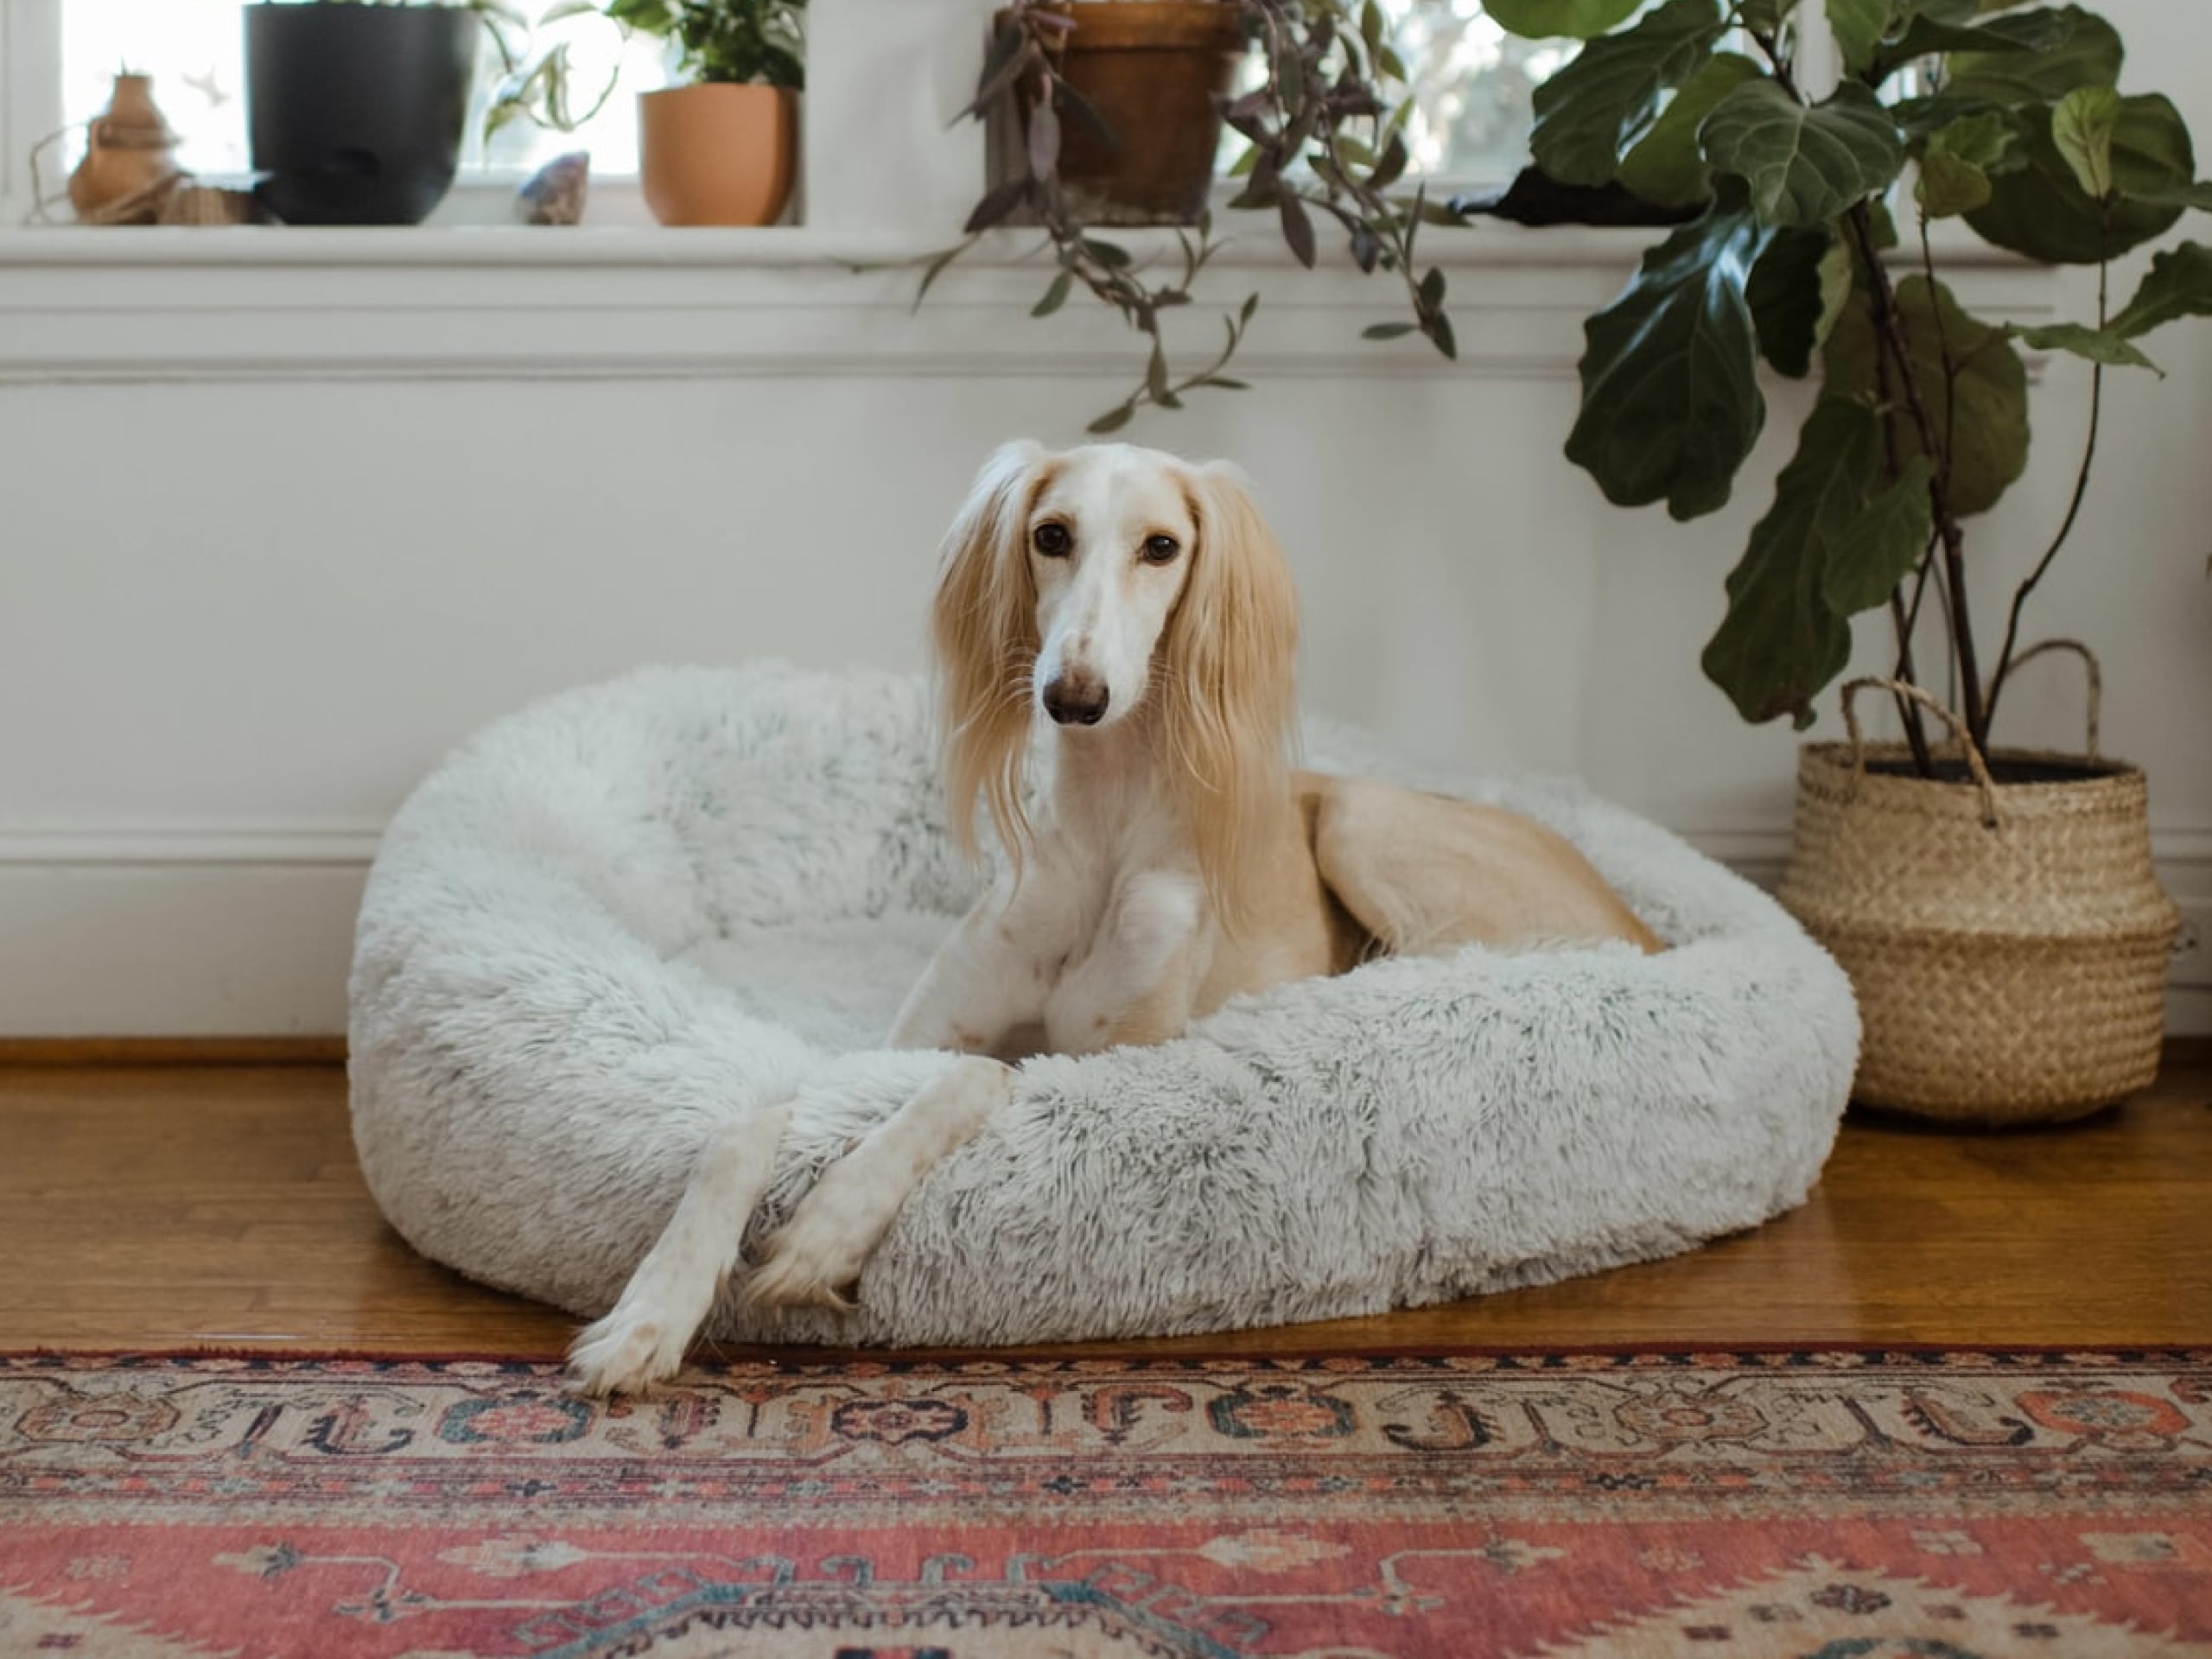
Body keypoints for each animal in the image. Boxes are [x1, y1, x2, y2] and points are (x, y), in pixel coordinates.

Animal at [570, 444, 1663, 1407]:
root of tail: (1646, 928)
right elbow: (748, 1123)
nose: (1075, 695)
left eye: (1161, 547)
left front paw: (825, 1230)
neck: (1100, 839)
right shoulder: (898, 1043)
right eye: (1050, 535)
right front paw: (649, 1315)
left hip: (1364, 822)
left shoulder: (1115, 1066)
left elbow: (977, 1078)